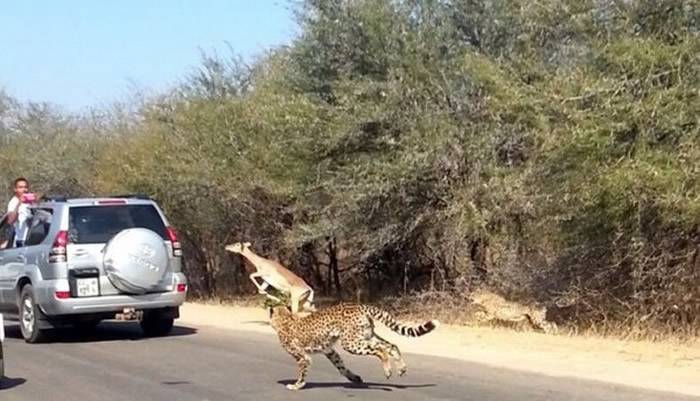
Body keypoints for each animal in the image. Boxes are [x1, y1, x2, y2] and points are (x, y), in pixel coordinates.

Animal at [268, 302, 438, 390]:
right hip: (365, 336)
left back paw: (388, 371)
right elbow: (341, 367)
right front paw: (354, 378)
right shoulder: (330, 351)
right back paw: (401, 368)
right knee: (391, 346)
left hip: (351, 343)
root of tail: (359, 305)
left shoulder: (302, 356)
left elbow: (303, 371)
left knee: (381, 350)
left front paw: (297, 385)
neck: (284, 318)